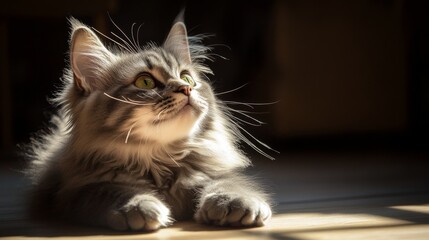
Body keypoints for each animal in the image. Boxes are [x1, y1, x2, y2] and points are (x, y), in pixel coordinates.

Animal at [24, 14, 270, 232]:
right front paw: (138, 205)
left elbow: (228, 183)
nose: (186, 88)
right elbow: (111, 191)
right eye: (145, 82)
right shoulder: (73, 192)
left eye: (187, 78)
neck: (161, 159)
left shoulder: (210, 172)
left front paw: (233, 202)